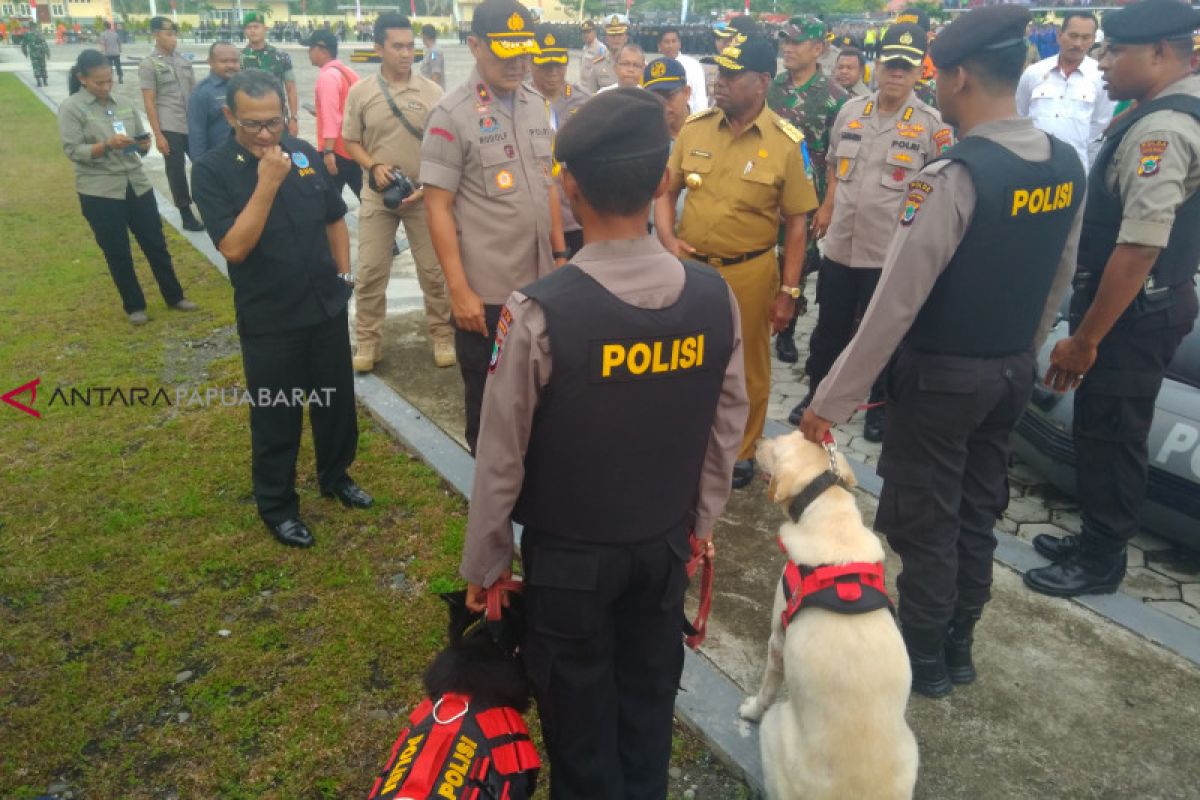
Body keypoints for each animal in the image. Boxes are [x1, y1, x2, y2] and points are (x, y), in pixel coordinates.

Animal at [739, 431, 916, 800]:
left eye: (775, 446)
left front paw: (749, 710)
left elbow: (767, 688)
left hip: (775, 728)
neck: (831, 515)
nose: (758, 439)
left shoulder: (778, 638)